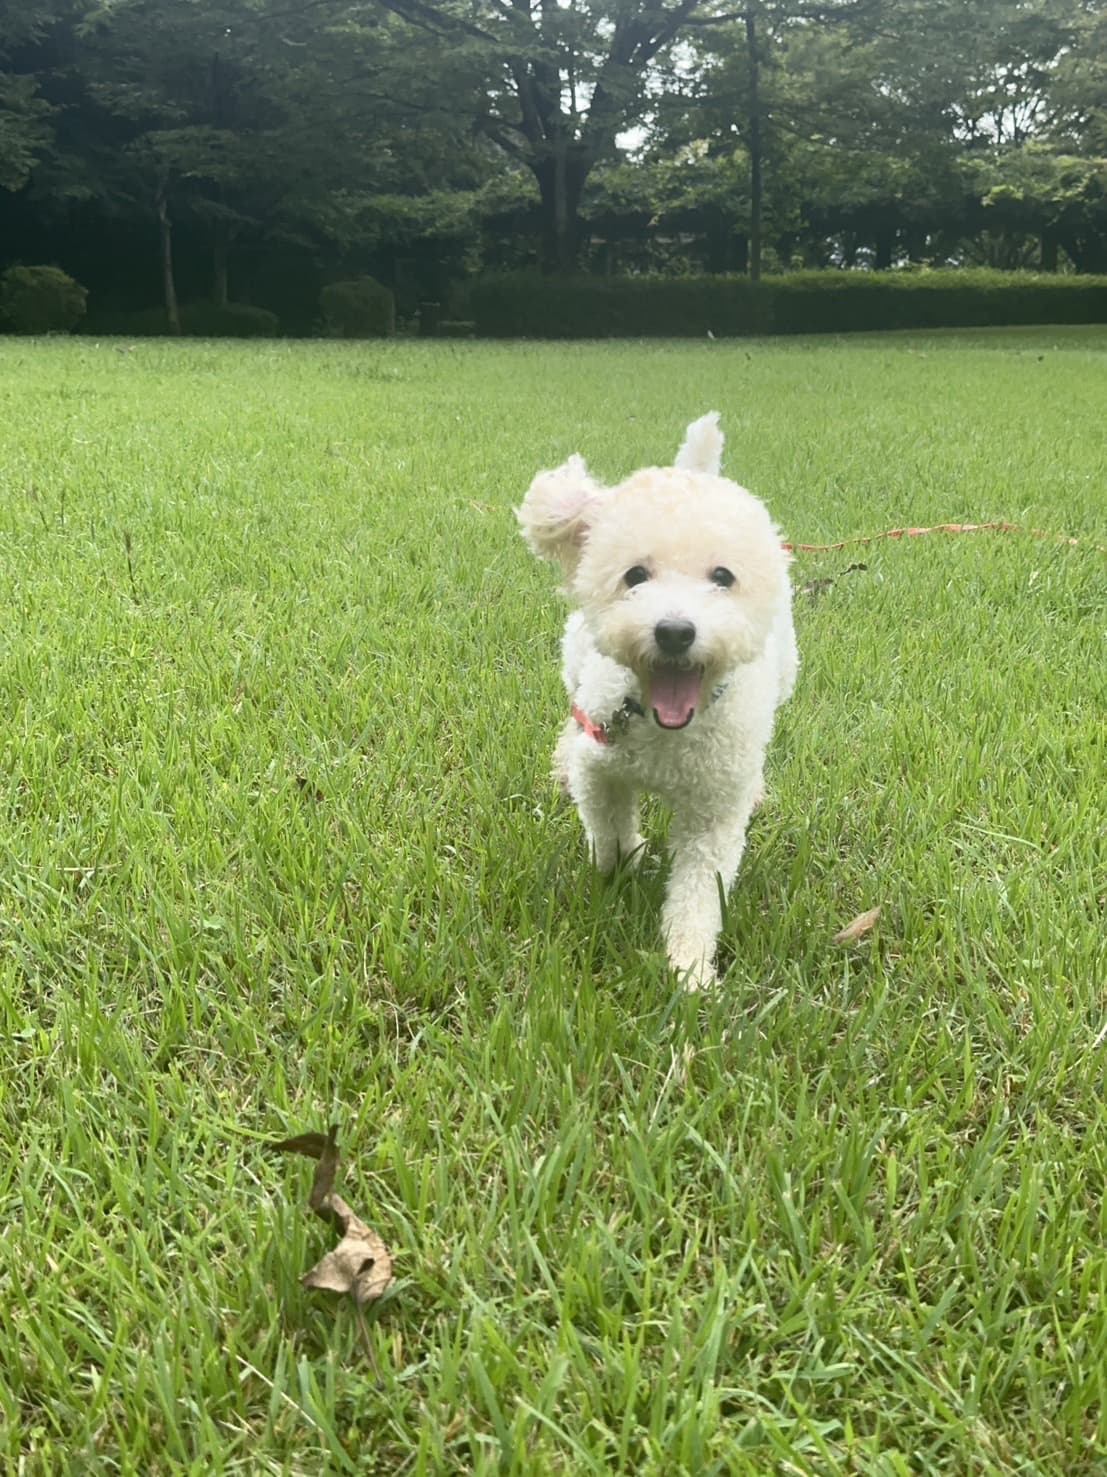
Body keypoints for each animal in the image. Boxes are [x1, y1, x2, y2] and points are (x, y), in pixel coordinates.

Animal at [517, 413, 792, 992]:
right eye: (635, 576)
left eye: (723, 576)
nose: (674, 631)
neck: (667, 732)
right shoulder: (601, 761)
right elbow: (608, 829)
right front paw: (626, 860)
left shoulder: (714, 815)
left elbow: (699, 892)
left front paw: (690, 970)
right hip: (576, 665)